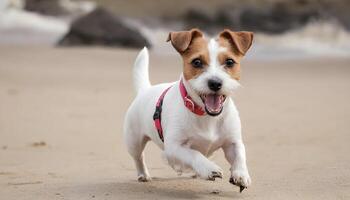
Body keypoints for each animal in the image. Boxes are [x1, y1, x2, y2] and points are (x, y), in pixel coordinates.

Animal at [123, 28, 254, 192]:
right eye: (197, 62)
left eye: (229, 62)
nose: (215, 83)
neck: (206, 115)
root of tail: (145, 89)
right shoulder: (174, 147)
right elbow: (194, 154)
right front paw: (208, 168)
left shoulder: (233, 142)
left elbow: (240, 155)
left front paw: (241, 174)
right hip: (134, 141)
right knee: (139, 157)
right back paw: (144, 174)